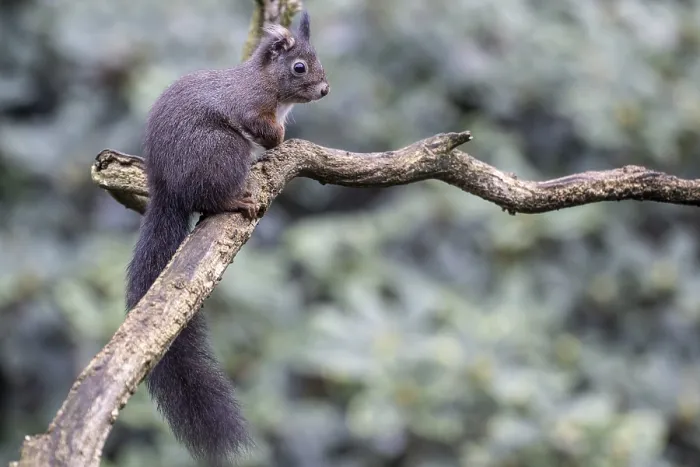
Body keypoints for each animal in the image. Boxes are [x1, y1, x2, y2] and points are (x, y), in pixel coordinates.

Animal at [125, 11, 329, 466]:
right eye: (299, 67)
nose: (325, 89)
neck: (267, 85)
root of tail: (167, 188)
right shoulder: (245, 106)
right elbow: (260, 126)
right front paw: (276, 138)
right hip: (222, 150)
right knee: (211, 196)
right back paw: (238, 199)